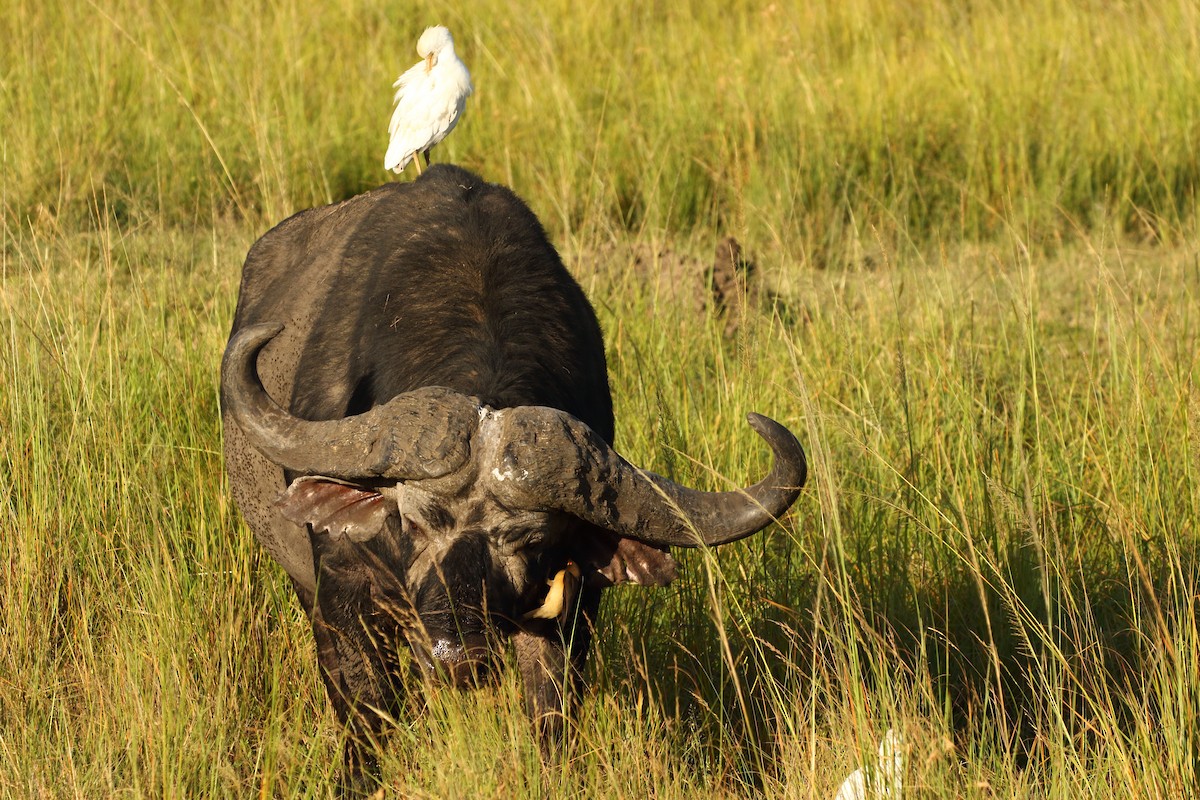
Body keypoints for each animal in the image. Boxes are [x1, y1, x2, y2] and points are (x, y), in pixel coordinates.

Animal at [220, 164, 806, 790]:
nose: (458, 657)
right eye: (413, 521)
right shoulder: (339, 590)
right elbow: (368, 713)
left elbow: (550, 714)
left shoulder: (572, 610)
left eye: (529, 539)